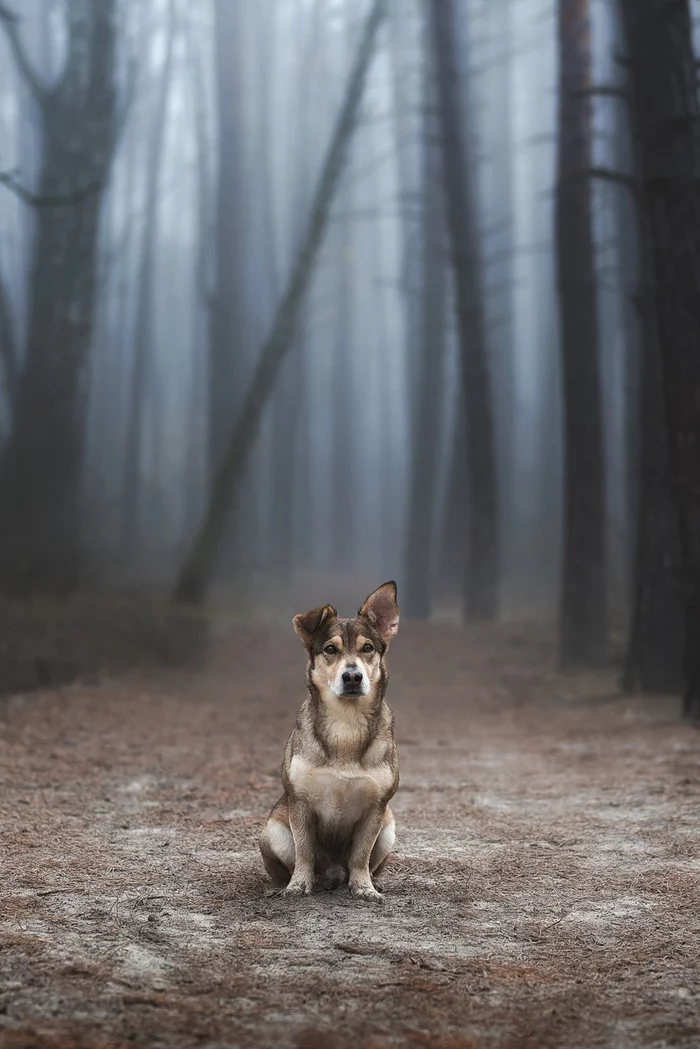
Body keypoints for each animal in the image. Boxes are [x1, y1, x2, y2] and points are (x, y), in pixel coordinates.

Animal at [257, 583, 398, 902]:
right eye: (330, 649)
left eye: (367, 648)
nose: (352, 676)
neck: (346, 723)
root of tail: (334, 874)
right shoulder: (299, 802)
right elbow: (305, 851)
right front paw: (298, 885)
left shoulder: (377, 807)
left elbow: (360, 855)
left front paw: (364, 887)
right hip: (272, 831)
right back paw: (305, 882)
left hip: (389, 827)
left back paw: (373, 880)